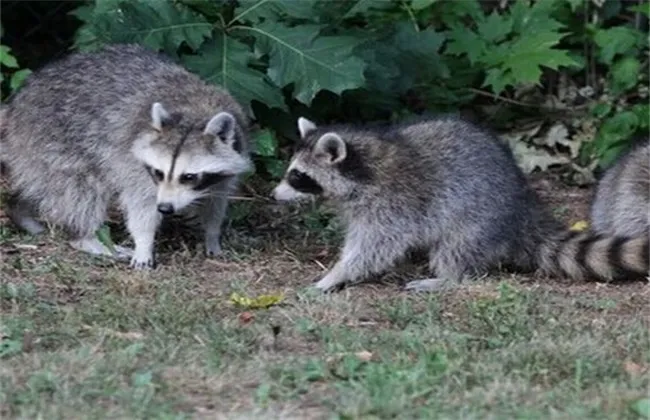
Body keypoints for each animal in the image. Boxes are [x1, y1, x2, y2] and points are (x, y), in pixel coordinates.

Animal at [0, 42, 249, 270]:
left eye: (188, 177)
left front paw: (212, 234)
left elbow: (217, 200)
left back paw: (20, 208)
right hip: (51, 138)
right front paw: (144, 243)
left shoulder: (231, 158)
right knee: (81, 190)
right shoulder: (133, 162)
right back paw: (86, 238)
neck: (194, 112)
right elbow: (142, 204)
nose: (165, 208)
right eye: (159, 173)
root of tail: (14, 109)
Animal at [270, 115, 644, 292]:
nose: (273, 194)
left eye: (297, 176)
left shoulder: (394, 203)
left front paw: (337, 274)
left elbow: (375, 247)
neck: (364, 165)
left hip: (479, 219)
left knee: (456, 247)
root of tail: (523, 209)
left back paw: (448, 277)